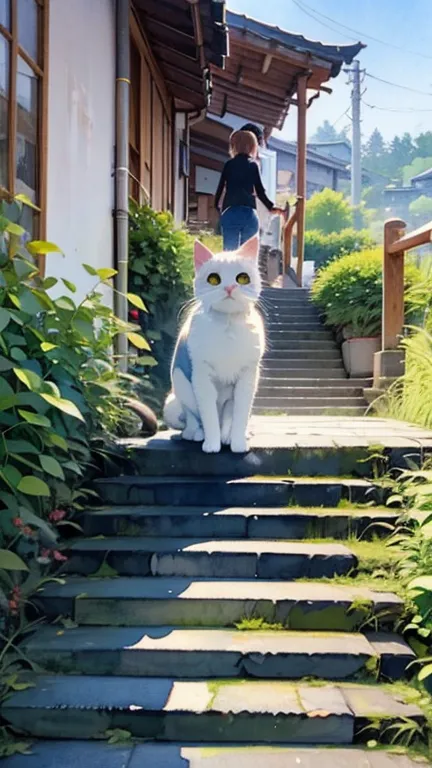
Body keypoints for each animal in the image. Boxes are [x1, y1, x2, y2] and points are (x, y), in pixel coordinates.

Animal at [164, 234, 264, 450]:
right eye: (213, 279)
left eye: (242, 278)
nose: (229, 287)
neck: (227, 325)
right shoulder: (201, 376)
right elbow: (208, 415)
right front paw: (211, 444)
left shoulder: (248, 377)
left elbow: (239, 415)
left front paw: (237, 444)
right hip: (175, 399)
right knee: (193, 418)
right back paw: (194, 434)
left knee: (228, 417)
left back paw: (230, 436)